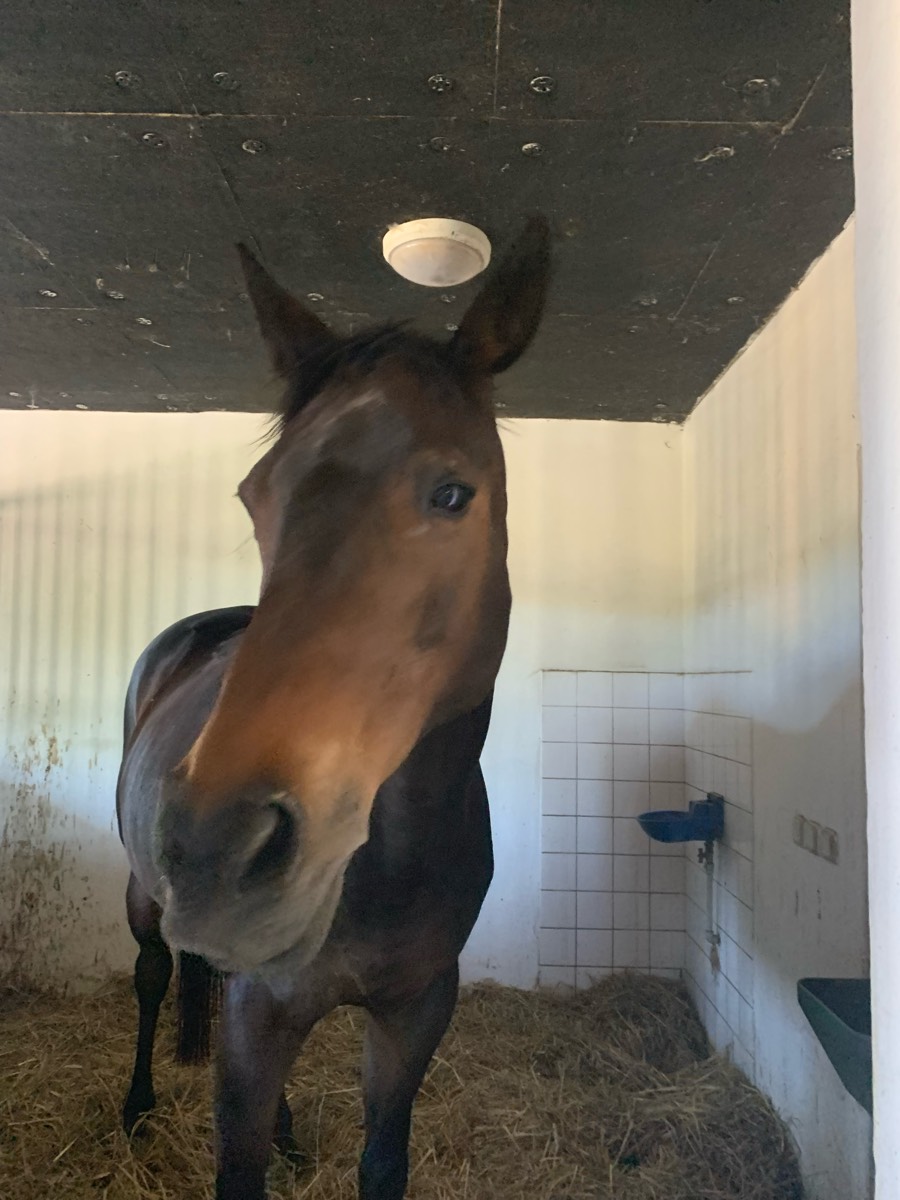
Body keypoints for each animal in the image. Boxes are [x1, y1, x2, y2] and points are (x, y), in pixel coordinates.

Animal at [115, 216, 550, 1200]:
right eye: (255, 496)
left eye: (453, 493)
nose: (215, 846)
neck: (387, 862)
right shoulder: (256, 1021)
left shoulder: (416, 1010)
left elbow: (381, 1160)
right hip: (143, 896)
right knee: (153, 975)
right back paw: (136, 1105)